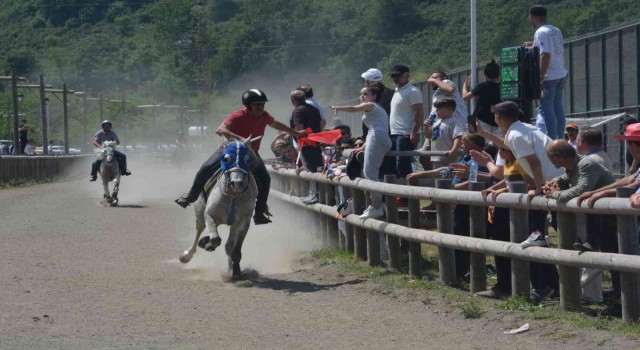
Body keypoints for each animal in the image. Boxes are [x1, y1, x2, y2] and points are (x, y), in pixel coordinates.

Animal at [179, 137, 258, 282]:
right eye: (226, 158)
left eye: (247, 159)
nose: (237, 183)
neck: (232, 196)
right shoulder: (209, 215)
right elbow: (215, 239)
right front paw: (207, 243)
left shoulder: (243, 221)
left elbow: (235, 250)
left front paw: (236, 273)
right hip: (200, 212)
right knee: (199, 230)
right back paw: (187, 254)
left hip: (233, 225)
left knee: (229, 245)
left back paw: (230, 270)